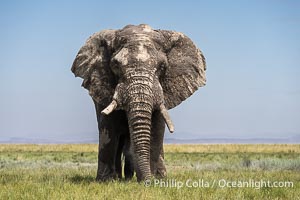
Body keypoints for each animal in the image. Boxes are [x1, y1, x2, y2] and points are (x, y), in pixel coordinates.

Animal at [71, 24, 205, 182]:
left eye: (162, 67)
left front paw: (156, 180)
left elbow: (157, 129)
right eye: (115, 65)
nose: (146, 181)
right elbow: (108, 129)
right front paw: (106, 181)